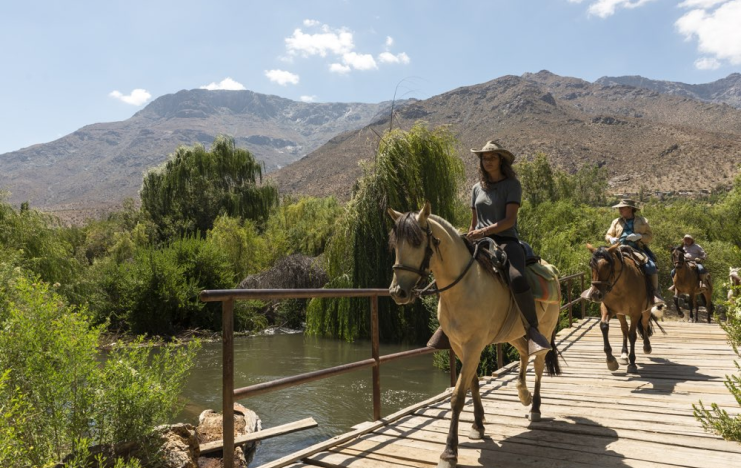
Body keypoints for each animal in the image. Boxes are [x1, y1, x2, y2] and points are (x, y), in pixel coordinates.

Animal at [384, 202, 556, 468]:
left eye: (417, 241)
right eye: (395, 244)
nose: (398, 292)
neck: (464, 286)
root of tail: (552, 269)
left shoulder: (474, 346)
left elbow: (457, 396)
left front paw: (449, 452)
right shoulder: (459, 346)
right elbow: (472, 384)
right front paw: (477, 425)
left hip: (544, 331)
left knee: (537, 364)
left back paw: (535, 407)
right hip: (514, 333)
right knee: (524, 354)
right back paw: (523, 394)